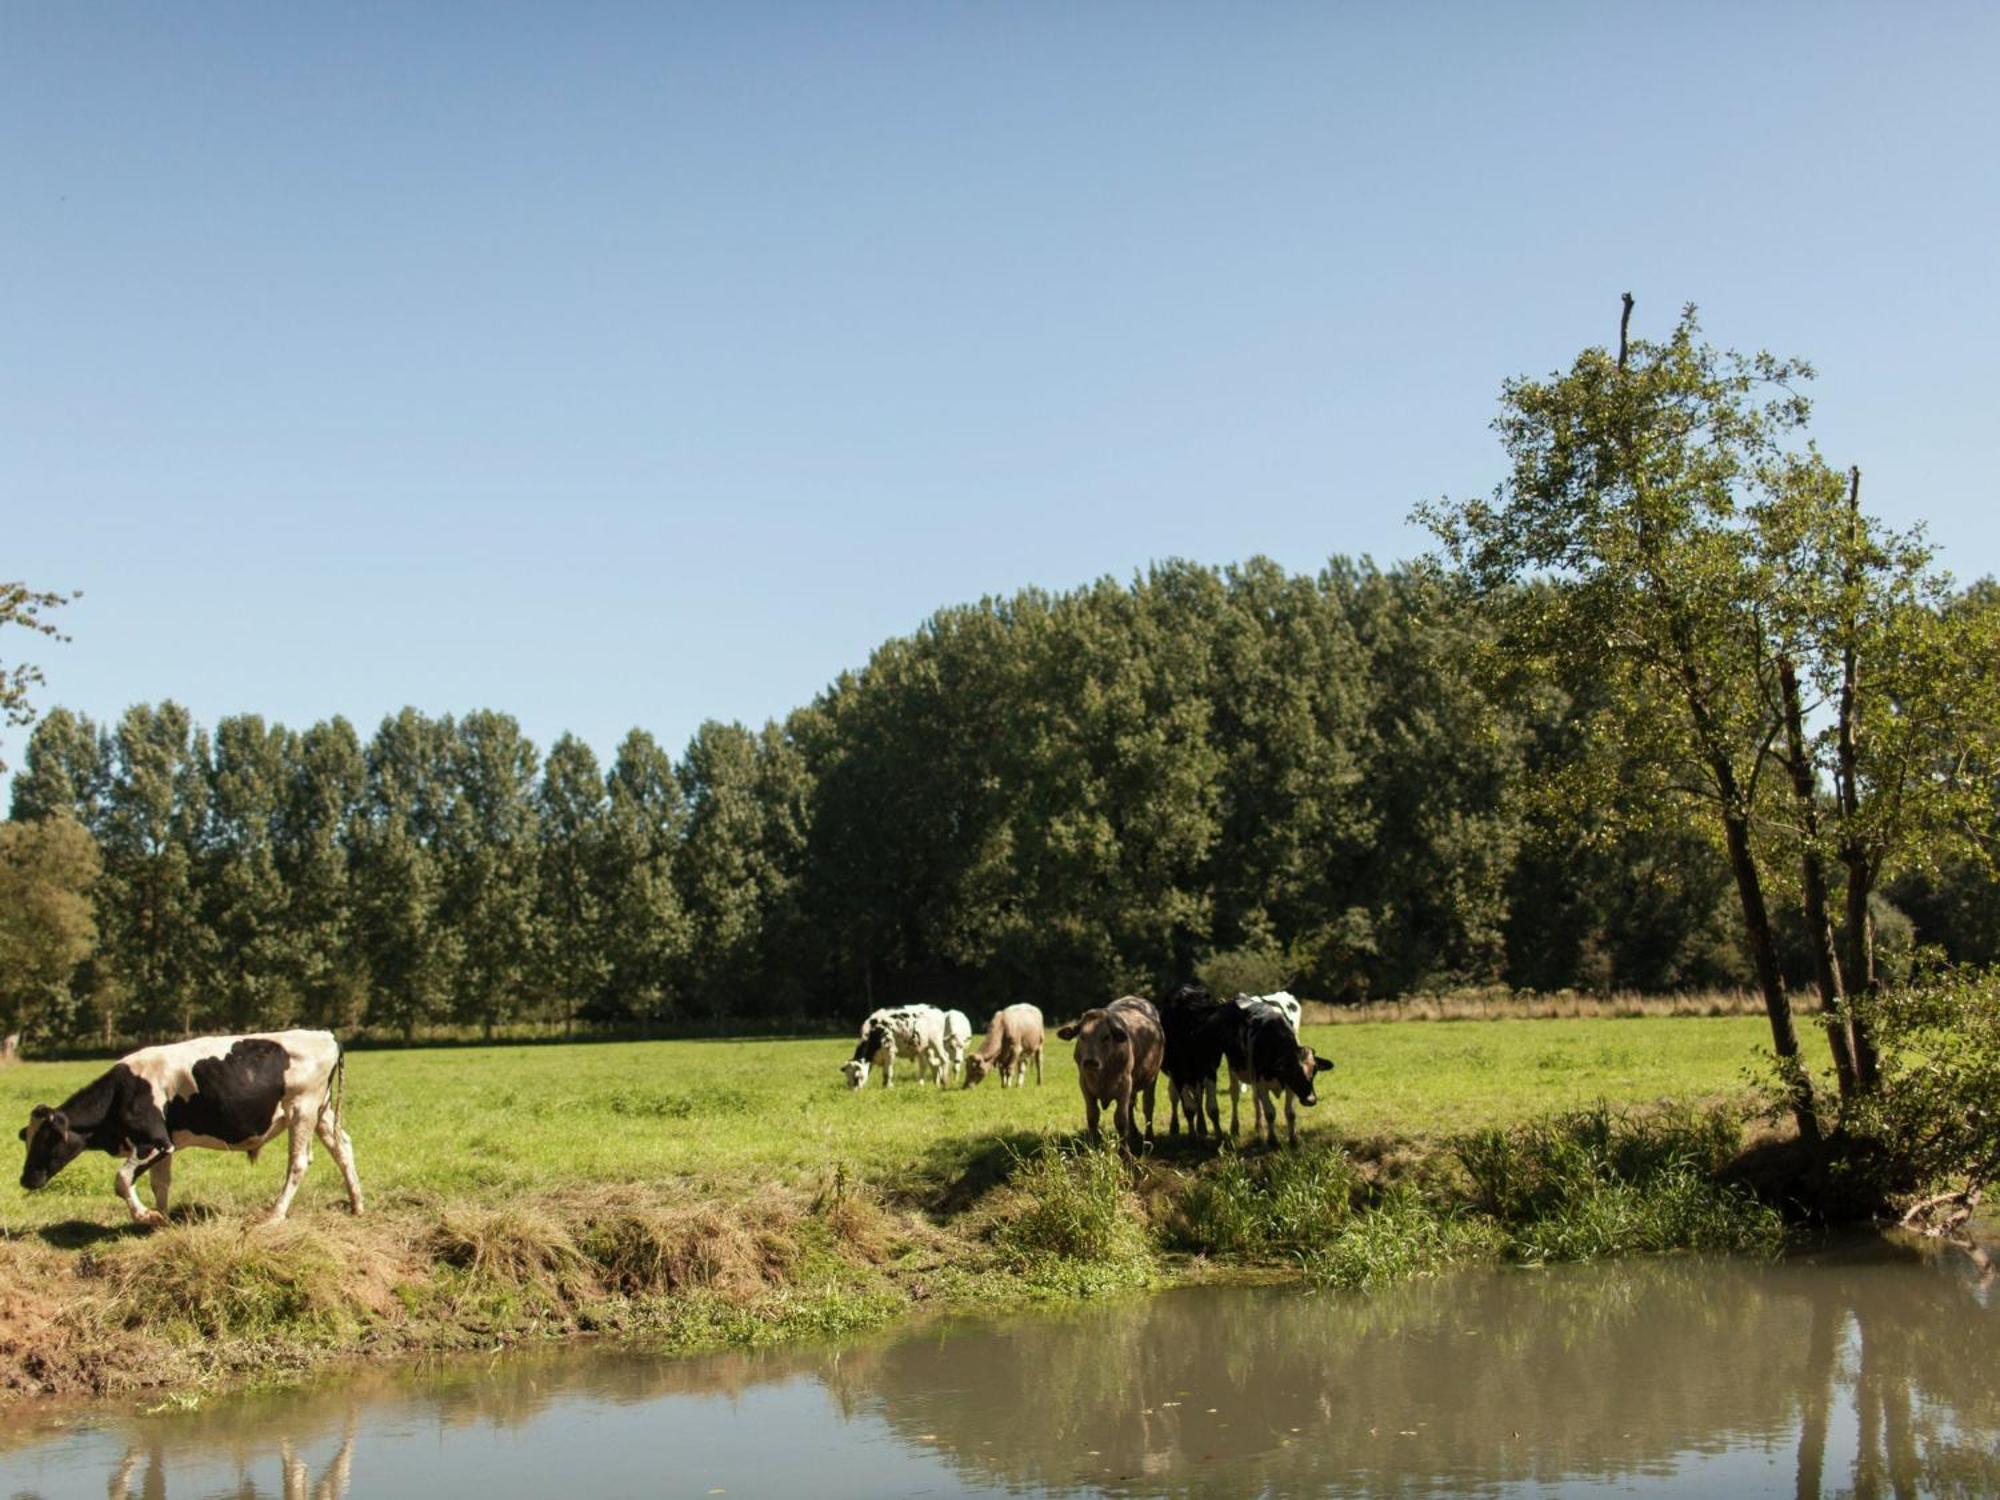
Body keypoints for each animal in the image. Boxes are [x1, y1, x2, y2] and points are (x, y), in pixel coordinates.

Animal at [17, 1032, 364, 1232]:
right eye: (27, 1139)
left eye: (48, 1138)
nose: (25, 1179)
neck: (123, 1090)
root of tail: (325, 1035)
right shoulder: (167, 1143)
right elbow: (160, 1183)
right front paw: (160, 1221)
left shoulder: (154, 1142)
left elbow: (122, 1179)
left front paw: (145, 1217)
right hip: (321, 1111)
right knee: (343, 1147)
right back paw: (356, 1204)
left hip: (302, 1109)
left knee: (299, 1162)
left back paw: (274, 1214)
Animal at [1056, 1000, 1168, 1152]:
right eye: (1082, 1036)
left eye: (1106, 1036)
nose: (1090, 1061)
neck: (1102, 1074)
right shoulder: (1085, 1086)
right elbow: (1092, 1117)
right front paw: (1093, 1148)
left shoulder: (1124, 1086)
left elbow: (1120, 1120)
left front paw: (1125, 1153)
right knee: (1131, 1107)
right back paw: (1134, 1133)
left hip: (1152, 1078)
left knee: (1148, 1106)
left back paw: (1149, 1138)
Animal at [1240, 1012, 1336, 1152]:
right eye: (1293, 1071)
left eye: (1315, 1070)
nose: (1311, 1100)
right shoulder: (1261, 1084)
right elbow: (1270, 1112)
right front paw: (1272, 1140)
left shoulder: (1291, 1087)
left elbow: (1290, 1113)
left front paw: (1293, 1140)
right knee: (1256, 1100)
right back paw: (1258, 1125)